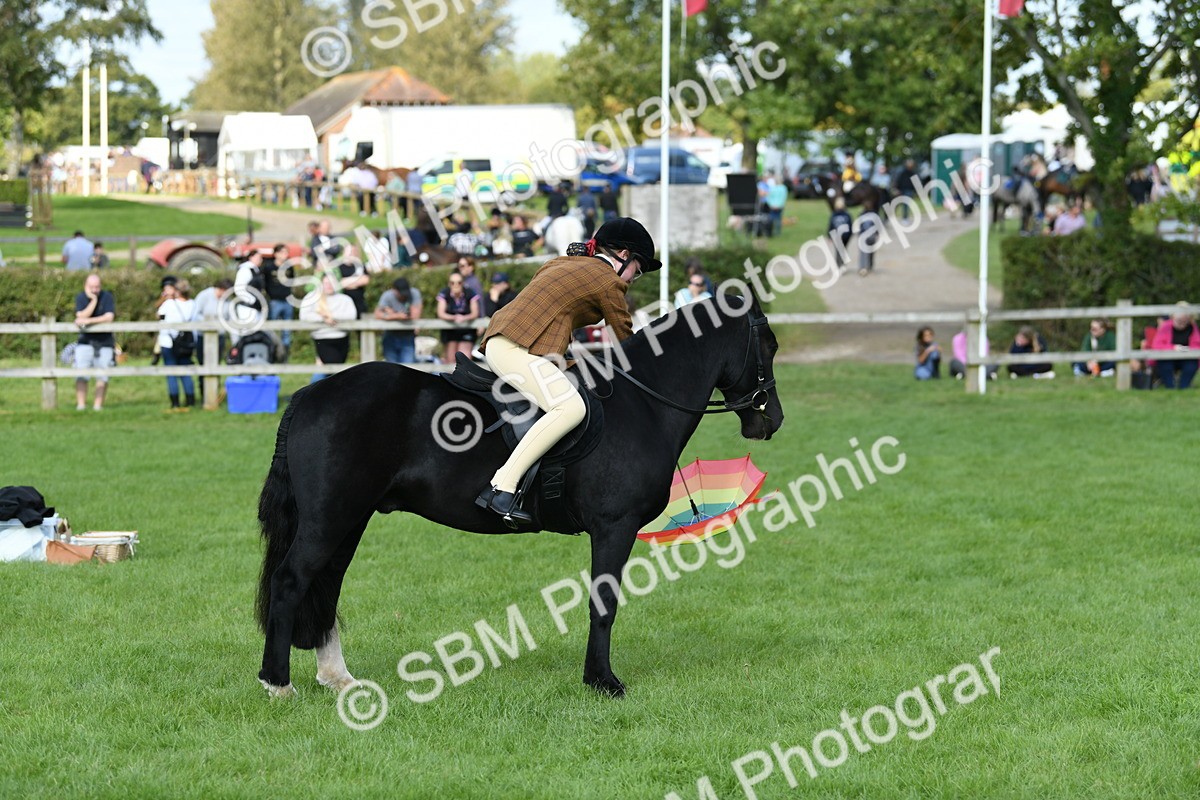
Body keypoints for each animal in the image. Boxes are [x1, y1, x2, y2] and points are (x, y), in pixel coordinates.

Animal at [255, 295, 784, 698]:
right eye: (769, 346)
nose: (771, 420)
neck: (643, 404)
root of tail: (311, 394)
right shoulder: (614, 528)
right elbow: (603, 604)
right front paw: (602, 681)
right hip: (330, 519)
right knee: (291, 582)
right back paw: (278, 684)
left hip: (349, 520)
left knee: (325, 586)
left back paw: (337, 678)